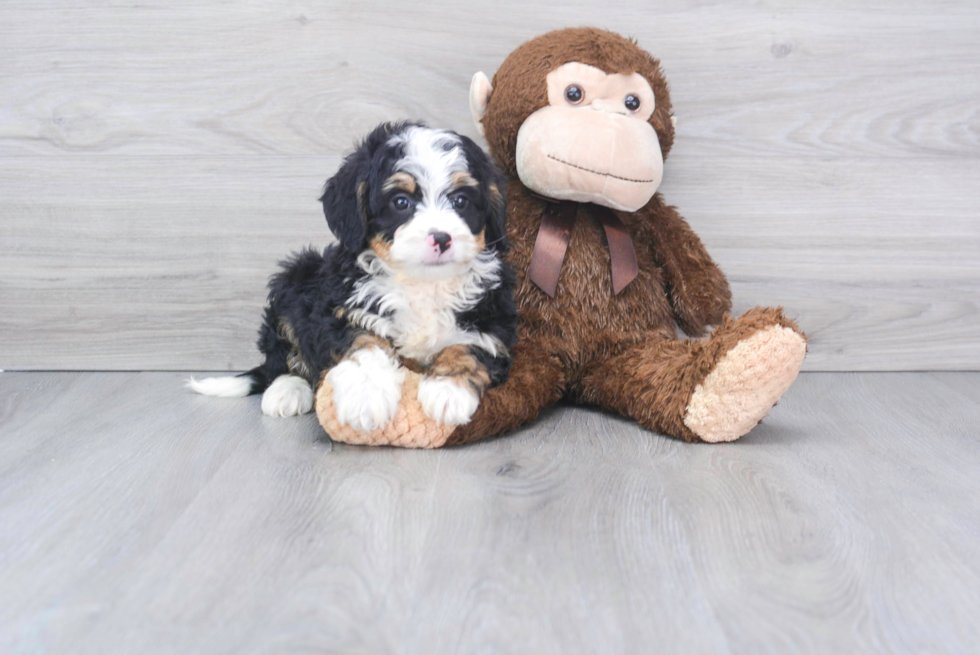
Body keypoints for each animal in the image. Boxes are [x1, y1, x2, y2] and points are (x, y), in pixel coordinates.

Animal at [187, 121, 516, 434]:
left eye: (461, 201)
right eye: (401, 202)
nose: (442, 238)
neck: (422, 283)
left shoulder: (495, 314)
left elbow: (472, 345)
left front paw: (448, 391)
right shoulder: (340, 308)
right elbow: (363, 341)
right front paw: (365, 396)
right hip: (296, 277)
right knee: (283, 355)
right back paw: (286, 390)